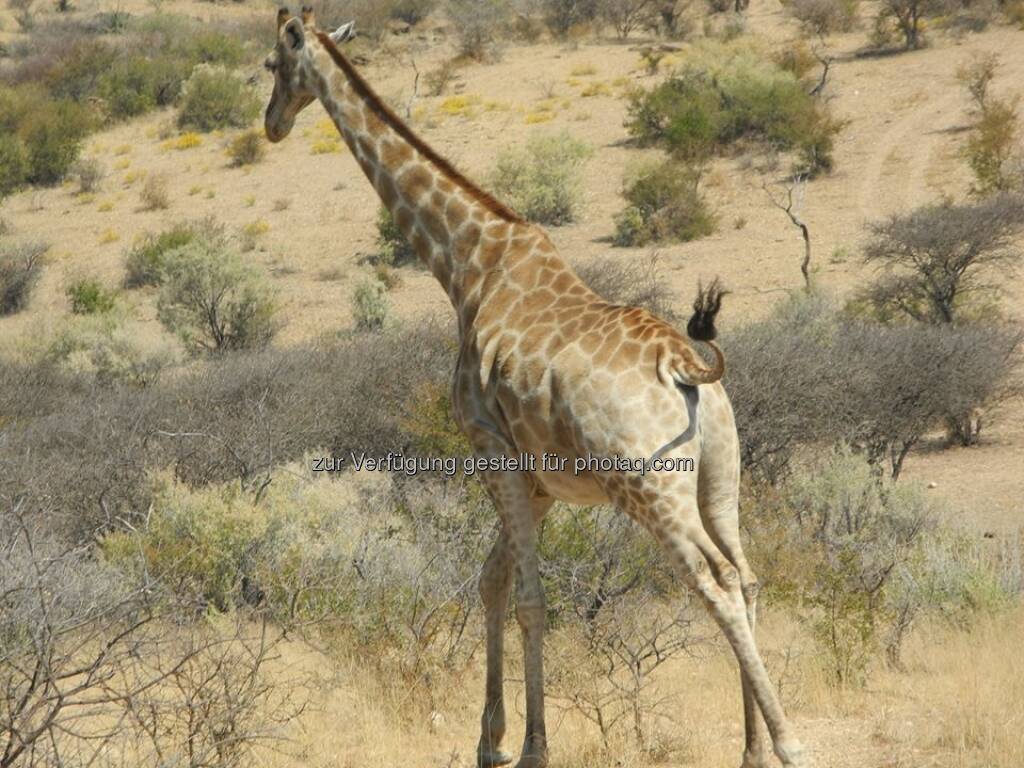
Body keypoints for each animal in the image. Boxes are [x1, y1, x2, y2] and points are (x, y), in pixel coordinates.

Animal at [262, 7, 806, 768]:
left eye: (272, 65)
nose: (271, 123)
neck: (468, 266)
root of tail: (685, 365)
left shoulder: (491, 450)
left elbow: (528, 600)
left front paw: (529, 749)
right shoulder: (541, 478)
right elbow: (493, 582)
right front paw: (490, 742)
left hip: (651, 486)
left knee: (715, 584)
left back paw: (788, 743)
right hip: (720, 475)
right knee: (746, 574)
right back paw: (753, 750)